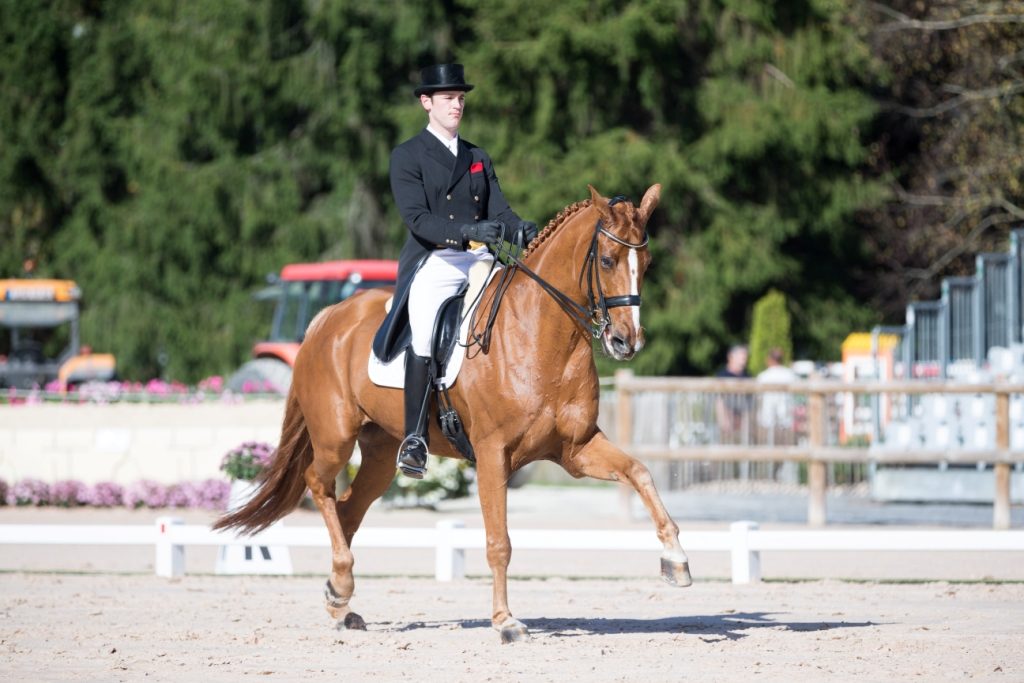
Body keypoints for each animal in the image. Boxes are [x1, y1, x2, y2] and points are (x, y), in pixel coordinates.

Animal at [217, 184, 696, 643]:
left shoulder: (575, 450)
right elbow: (499, 542)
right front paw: (505, 622)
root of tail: (327, 318)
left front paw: (676, 561)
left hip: (380, 453)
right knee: (318, 484)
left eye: (647, 263)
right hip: (335, 436)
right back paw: (341, 584)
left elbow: (639, 472)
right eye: (608, 260)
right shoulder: (492, 454)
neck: (541, 335)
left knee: (348, 509)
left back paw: (340, 598)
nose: (625, 342)